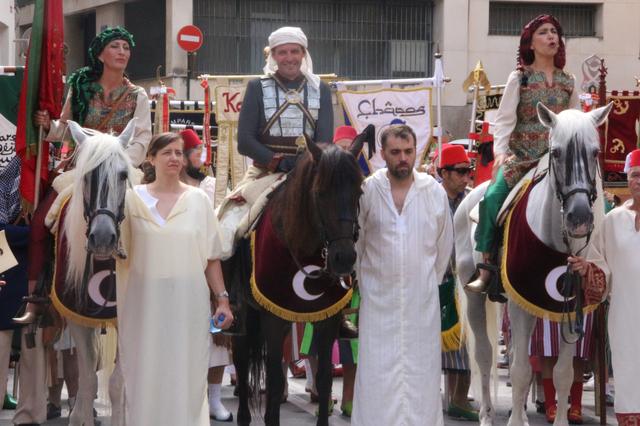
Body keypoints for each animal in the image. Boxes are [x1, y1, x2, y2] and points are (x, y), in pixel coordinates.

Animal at [57, 120, 138, 426]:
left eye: (123, 175)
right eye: (87, 176)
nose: (102, 238)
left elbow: (117, 384)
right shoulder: (77, 318)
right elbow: (88, 380)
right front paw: (80, 417)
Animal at [224, 131, 364, 424]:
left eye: (359, 192)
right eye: (320, 193)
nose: (343, 258)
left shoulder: (326, 318)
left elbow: (324, 379)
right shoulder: (274, 318)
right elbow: (275, 381)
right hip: (243, 315)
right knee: (242, 362)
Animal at [452, 103, 612, 426]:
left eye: (594, 152)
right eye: (557, 153)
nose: (579, 218)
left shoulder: (568, 308)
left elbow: (563, 373)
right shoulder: (520, 304)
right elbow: (521, 371)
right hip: (476, 297)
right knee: (485, 355)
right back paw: (487, 414)